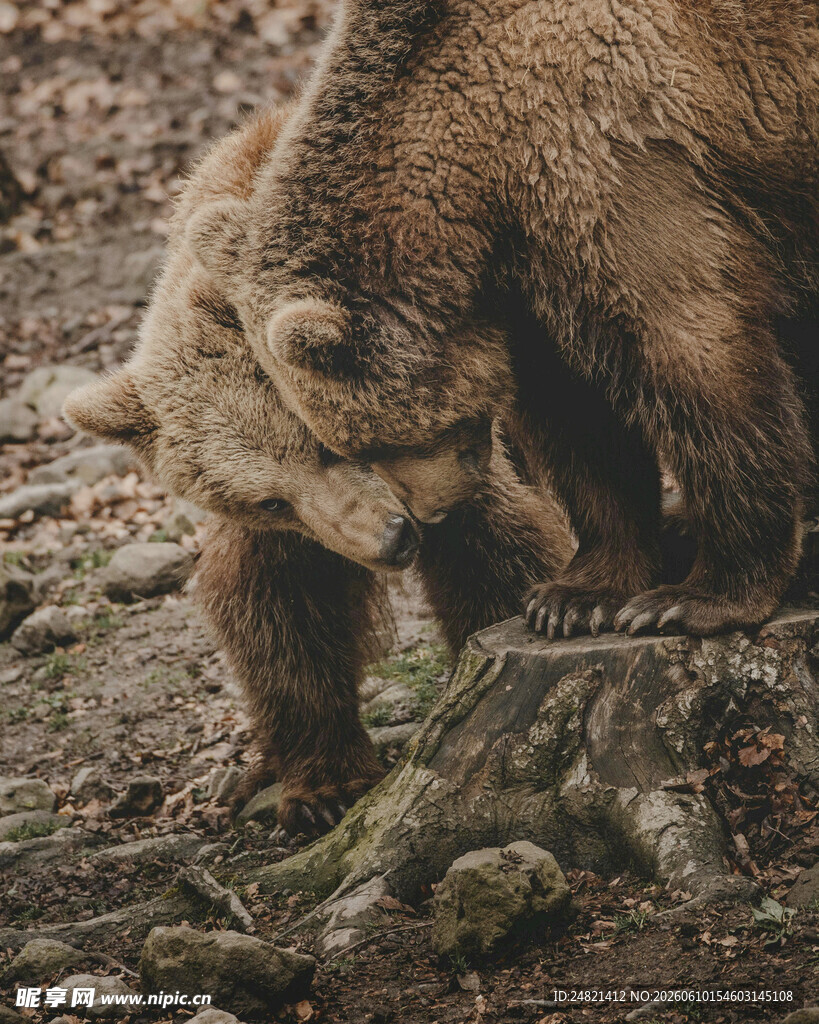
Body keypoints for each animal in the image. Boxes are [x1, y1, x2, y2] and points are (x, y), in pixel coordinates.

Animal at [63, 108, 573, 834]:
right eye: (269, 500)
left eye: (330, 445)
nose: (392, 538)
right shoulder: (296, 528)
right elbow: (279, 609)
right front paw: (322, 788)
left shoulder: (448, 454)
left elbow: (496, 552)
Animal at [186, 0, 819, 642]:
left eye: (360, 447)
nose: (431, 513)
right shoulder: (528, 277)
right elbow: (578, 416)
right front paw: (572, 598)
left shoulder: (611, 168)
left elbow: (693, 353)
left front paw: (692, 598)